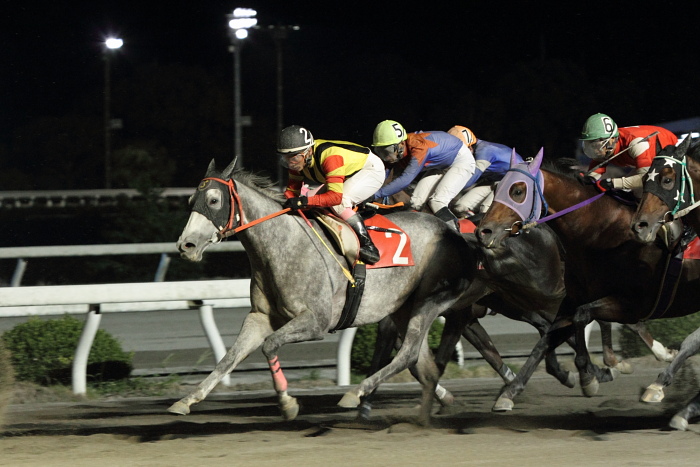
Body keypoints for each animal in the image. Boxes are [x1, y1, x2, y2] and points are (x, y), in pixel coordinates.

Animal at [168, 159, 486, 426]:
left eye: (213, 200)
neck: (283, 245)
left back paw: (355, 394)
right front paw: (186, 400)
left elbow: (270, 345)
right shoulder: (259, 317)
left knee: (408, 355)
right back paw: (429, 414)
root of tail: (456, 234)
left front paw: (287, 404)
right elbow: (229, 357)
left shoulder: (316, 321)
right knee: (424, 366)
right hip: (402, 309)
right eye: (191, 200)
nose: (186, 245)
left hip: (430, 301)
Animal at [476, 150, 700, 432]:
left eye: (518, 190)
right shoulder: (571, 301)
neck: (600, 232)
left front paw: (588, 377)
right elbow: (545, 341)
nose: (483, 231)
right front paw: (508, 394)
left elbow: (583, 318)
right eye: (496, 188)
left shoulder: (634, 305)